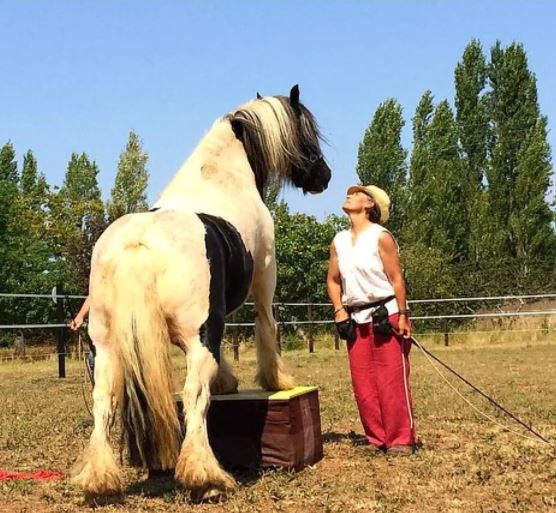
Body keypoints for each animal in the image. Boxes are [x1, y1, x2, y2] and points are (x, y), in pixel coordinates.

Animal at [70, 87, 330, 500]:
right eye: (307, 133)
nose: (324, 175)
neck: (220, 177)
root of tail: (138, 242)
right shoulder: (263, 278)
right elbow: (266, 327)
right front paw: (276, 381)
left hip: (106, 346)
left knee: (103, 400)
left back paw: (100, 480)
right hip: (196, 336)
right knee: (194, 394)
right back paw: (204, 477)